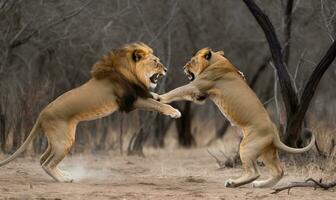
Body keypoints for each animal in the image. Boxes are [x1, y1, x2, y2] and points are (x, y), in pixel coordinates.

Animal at [0, 42, 181, 183]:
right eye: (155, 61)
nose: (166, 69)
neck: (129, 71)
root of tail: (41, 114)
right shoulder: (131, 101)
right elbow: (154, 104)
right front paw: (174, 112)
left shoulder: (138, 95)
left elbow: (156, 98)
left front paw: (163, 97)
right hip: (64, 141)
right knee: (47, 163)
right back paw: (64, 179)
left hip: (57, 140)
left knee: (42, 159)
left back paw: (65, 175)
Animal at [158, 48, 316, 188]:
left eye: (192, 61)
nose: (183, 67)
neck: (216, 62)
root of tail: (275, 134)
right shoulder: (200, 96)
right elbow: (179, 93)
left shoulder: (196, 86)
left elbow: (176, 91)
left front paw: (158, 97)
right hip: (266, 152)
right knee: (279, 171)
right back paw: (260, 185)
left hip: (246, 147)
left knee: (254, 172)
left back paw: (233, 183)